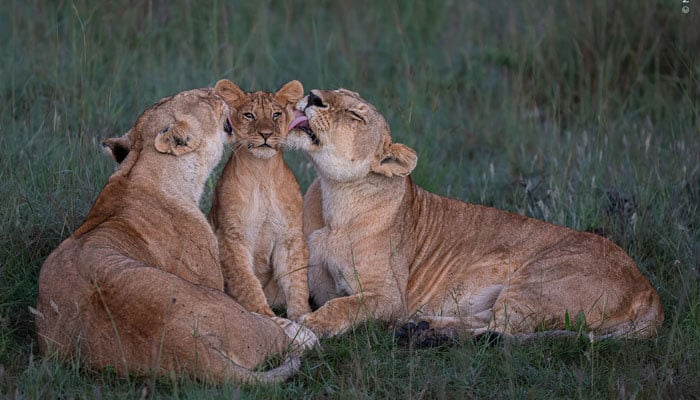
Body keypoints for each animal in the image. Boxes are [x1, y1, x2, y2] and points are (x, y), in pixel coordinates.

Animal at [208, 79, 312, 320]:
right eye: (249, 115)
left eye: (276, 114)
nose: (266, 134)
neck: (262, 173)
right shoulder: (232, 236)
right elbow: (245, 280)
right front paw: (264, 315)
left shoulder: (289, 235)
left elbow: (296, 280)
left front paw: (303, 316)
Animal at [284, 88, 660, 340]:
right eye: (334, 91)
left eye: (356, 116)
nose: (313, 96)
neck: (334, 197)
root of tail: (649, 291)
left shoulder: (390, 296)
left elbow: (343, 306)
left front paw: (312, 324)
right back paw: (421, 326)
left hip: (536, 281)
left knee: (501, 334)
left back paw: (421, 333)